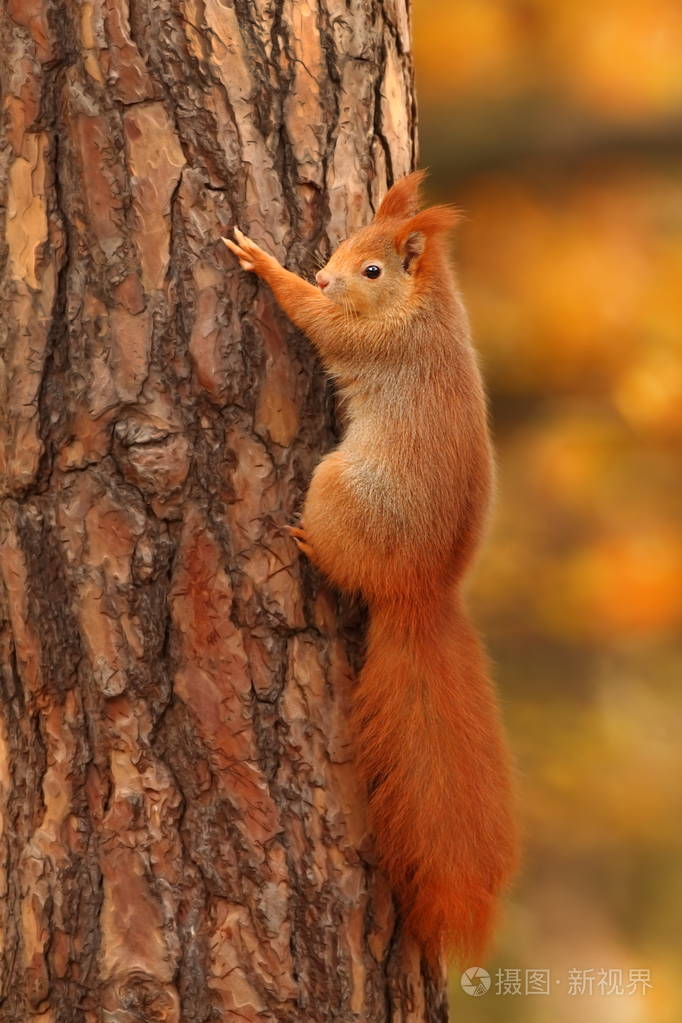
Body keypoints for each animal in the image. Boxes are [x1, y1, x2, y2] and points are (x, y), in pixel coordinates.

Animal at [223, 169, 517, 965]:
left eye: (375, 269)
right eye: (344, 241)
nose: (326, 274)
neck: (427, 305)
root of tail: (420, 590)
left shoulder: (373, 339)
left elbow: (318, 323)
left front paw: (267, 267)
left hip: (336, 488)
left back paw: (304, 542)